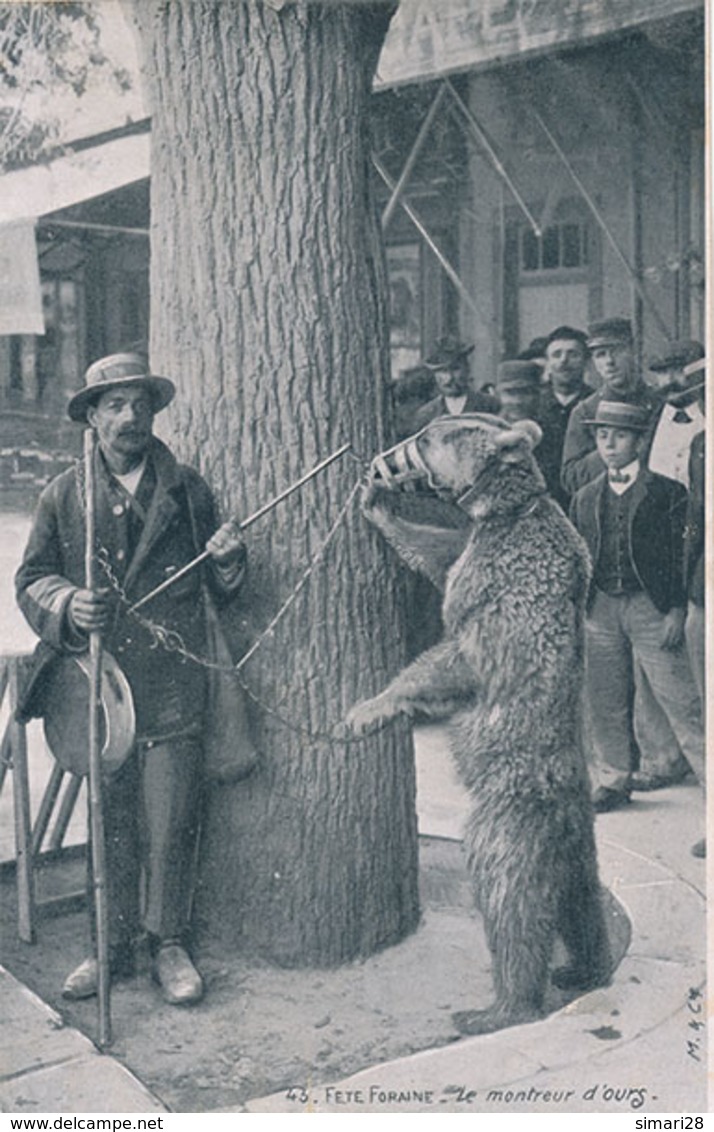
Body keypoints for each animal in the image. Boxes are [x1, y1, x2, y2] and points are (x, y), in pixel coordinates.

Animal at [346, 414, 611, 1036]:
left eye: (426, 437)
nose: (378, 464)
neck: (506, 509)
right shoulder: (475, 547)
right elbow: (435, 552)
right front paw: (377, 507)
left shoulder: (501, 582)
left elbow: (454, 653)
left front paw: (368, 707)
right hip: (578, 846)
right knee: (580, 903)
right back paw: (584, 966)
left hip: (505, 824)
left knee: (511, 906)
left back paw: (498, 1007)